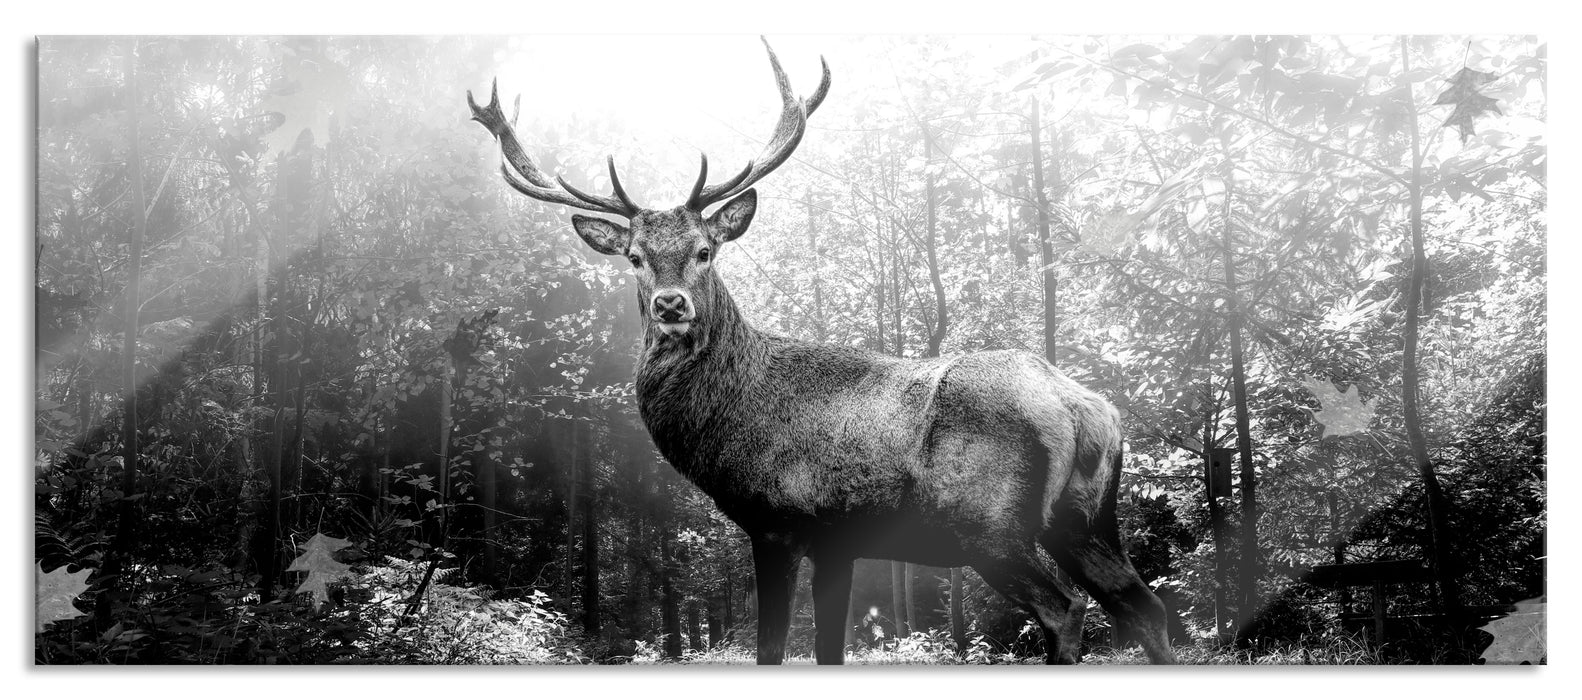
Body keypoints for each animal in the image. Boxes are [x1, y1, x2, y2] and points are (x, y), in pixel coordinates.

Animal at [465, 39, 1177, 668]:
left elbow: (772, 649)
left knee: (1066, 610)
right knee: (1144, 607)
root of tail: (1084, 407)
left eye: (705, 250)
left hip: (990, 523)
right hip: (1087, 520)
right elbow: (829, 648)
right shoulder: (841, 542)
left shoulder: (776, 519)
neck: (725, 424)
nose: (670, 305)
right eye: (635, 257)